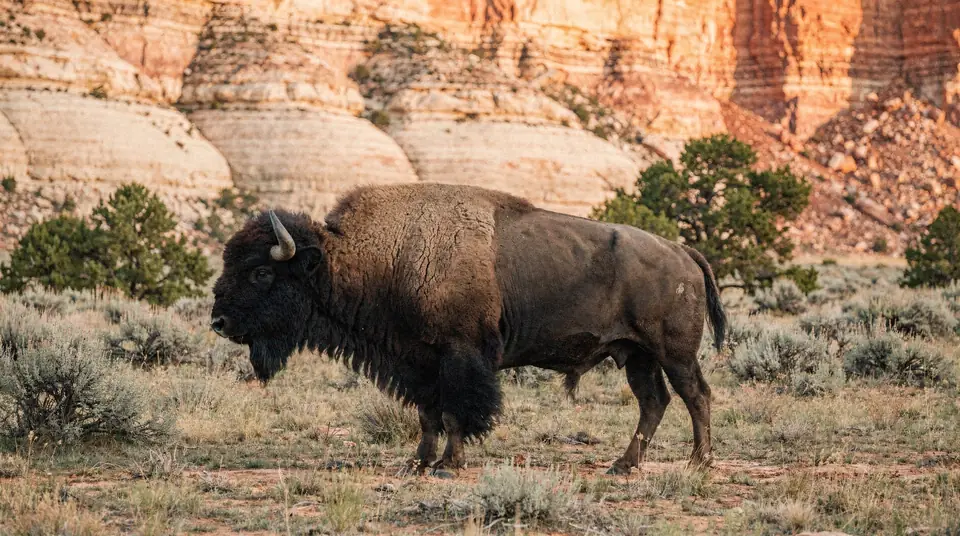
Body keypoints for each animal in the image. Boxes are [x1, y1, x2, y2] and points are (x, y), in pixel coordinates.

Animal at [210, 183, 725, 476]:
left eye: (261, 272)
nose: (219, 321)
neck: (381, 257)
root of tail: (682, 252)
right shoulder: (417, 362)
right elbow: (428, 413)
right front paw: (417, 462)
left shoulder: (460, 356)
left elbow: (458, 412)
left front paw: (448, 465)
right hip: (635, 355)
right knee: (654, 402)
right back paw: (622, 466)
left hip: (673, 352)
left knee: (694, 395)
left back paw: (698, 463)